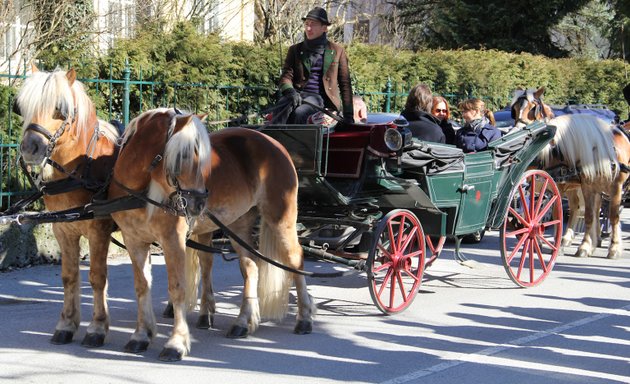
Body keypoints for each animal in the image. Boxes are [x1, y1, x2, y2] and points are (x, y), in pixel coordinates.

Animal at [15, 67, 119, 346]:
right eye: (22, 107)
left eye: (59, 109)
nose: (30, 148)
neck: (83, 167)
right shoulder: (62, 230)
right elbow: (69, 276)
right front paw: (67, 324)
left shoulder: (99, 230)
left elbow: (97, 276)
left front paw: (97, 327)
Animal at [110, 108, 316, 360]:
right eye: (184, 156)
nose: (199, 202)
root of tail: (275, 143)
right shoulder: (134, 241)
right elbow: (142, 286)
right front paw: (140, 336)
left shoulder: (173, 240)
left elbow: (177, 288)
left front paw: (176, 342)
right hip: (238, 225)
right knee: (251, 266)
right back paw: (243, 322)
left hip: (281, 218)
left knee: (295, 260)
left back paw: (304, 318)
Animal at [512, 88, 630, 260]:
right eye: (514, 109)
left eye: (533, 109)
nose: (517, 136)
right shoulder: (576, 185)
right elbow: (582, 215)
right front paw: (582, 246)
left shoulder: (616, 186)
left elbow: (613, 215)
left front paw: (614, 248)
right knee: (583, 208)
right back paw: (583, 240)